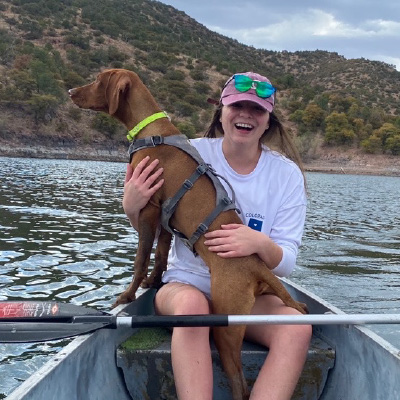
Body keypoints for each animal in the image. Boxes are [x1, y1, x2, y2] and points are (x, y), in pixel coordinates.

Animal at [69, 69, 306, 400]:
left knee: (239, 383)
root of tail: (257, 266)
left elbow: (140, 259)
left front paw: (128, 294)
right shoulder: (166, 217)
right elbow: (160, 256)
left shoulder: (150, 208)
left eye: (98, 80)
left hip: (227, 325)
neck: (152, 129)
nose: (70, 91)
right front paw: (154, 282)